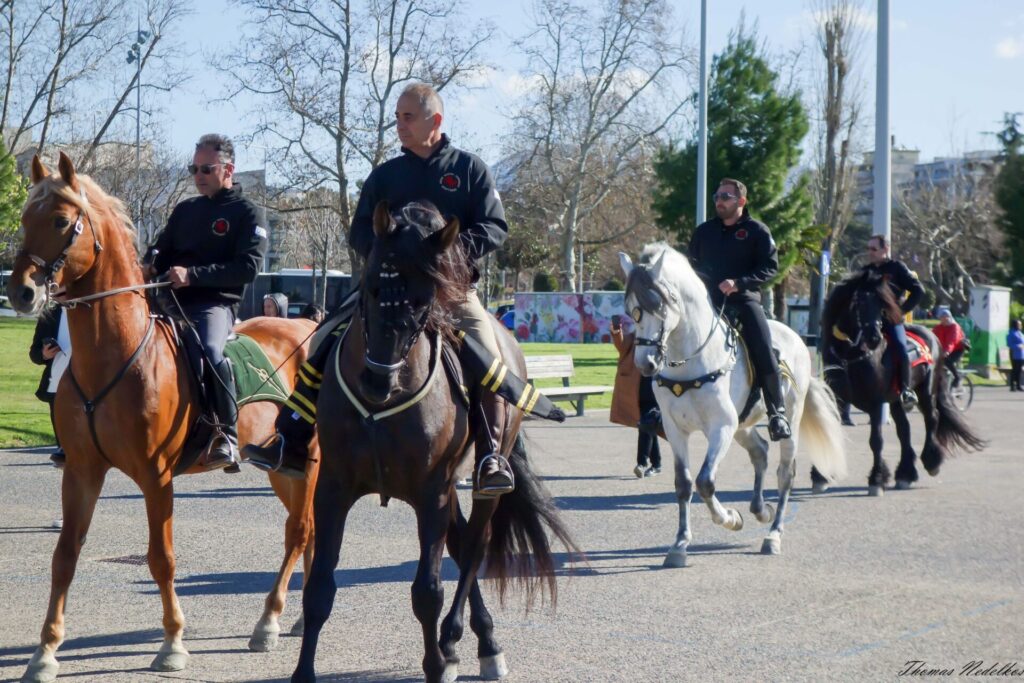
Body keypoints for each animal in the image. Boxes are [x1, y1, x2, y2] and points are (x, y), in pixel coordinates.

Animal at [6, 154, 319, 683]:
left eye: (62, 221)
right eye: (25, 218)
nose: (21, 292)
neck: (115, 354)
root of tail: (310, 326)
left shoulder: (156, 476)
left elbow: (161, 558)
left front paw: (172, 643)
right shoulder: (82, 471)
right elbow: (65, 556)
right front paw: (45, 652)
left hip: (311, 461)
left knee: (297, 532)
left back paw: (269, 623)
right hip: (283, 468)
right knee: (311, 530)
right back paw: (299, 617)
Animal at [292, 201, 577, 683]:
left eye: (422, 299)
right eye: (371, 288)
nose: (377, 380)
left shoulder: (430, 493)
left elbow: (427, 591)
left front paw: (436, 662)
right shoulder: (333, 488)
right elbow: (319, 587)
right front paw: (302, 672)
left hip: (477, 483)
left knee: (474, 546)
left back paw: (468, 643)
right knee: (461, 545)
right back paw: (470, 640)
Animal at [618, 244, 843, 565]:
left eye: (660, 305)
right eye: (630, 310)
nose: (645, 364)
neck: (692, 359)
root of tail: (797, 339)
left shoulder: (720, 428)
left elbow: (705, 482)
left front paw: (730, 519)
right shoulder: (676, 430)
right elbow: (684, 484)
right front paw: (680, 543)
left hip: (788, 420)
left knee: (785, 474)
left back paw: (773, 535)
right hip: (742, 425)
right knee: (760, 451)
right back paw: (760, 510)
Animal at [815, 272, 983, 497]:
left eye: (881, 303)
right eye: (858, 301)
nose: (875, 337)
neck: (851, 355)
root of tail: (932, 337)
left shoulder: (876, 403)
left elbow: (876, 441)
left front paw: (877, 479)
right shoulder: (838, 399)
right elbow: (829, 430)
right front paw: (820, 477)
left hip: (925, 392)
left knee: (932, 418)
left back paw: (931, 461)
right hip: (895, 399)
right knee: (904, 429)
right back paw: (906, 474)